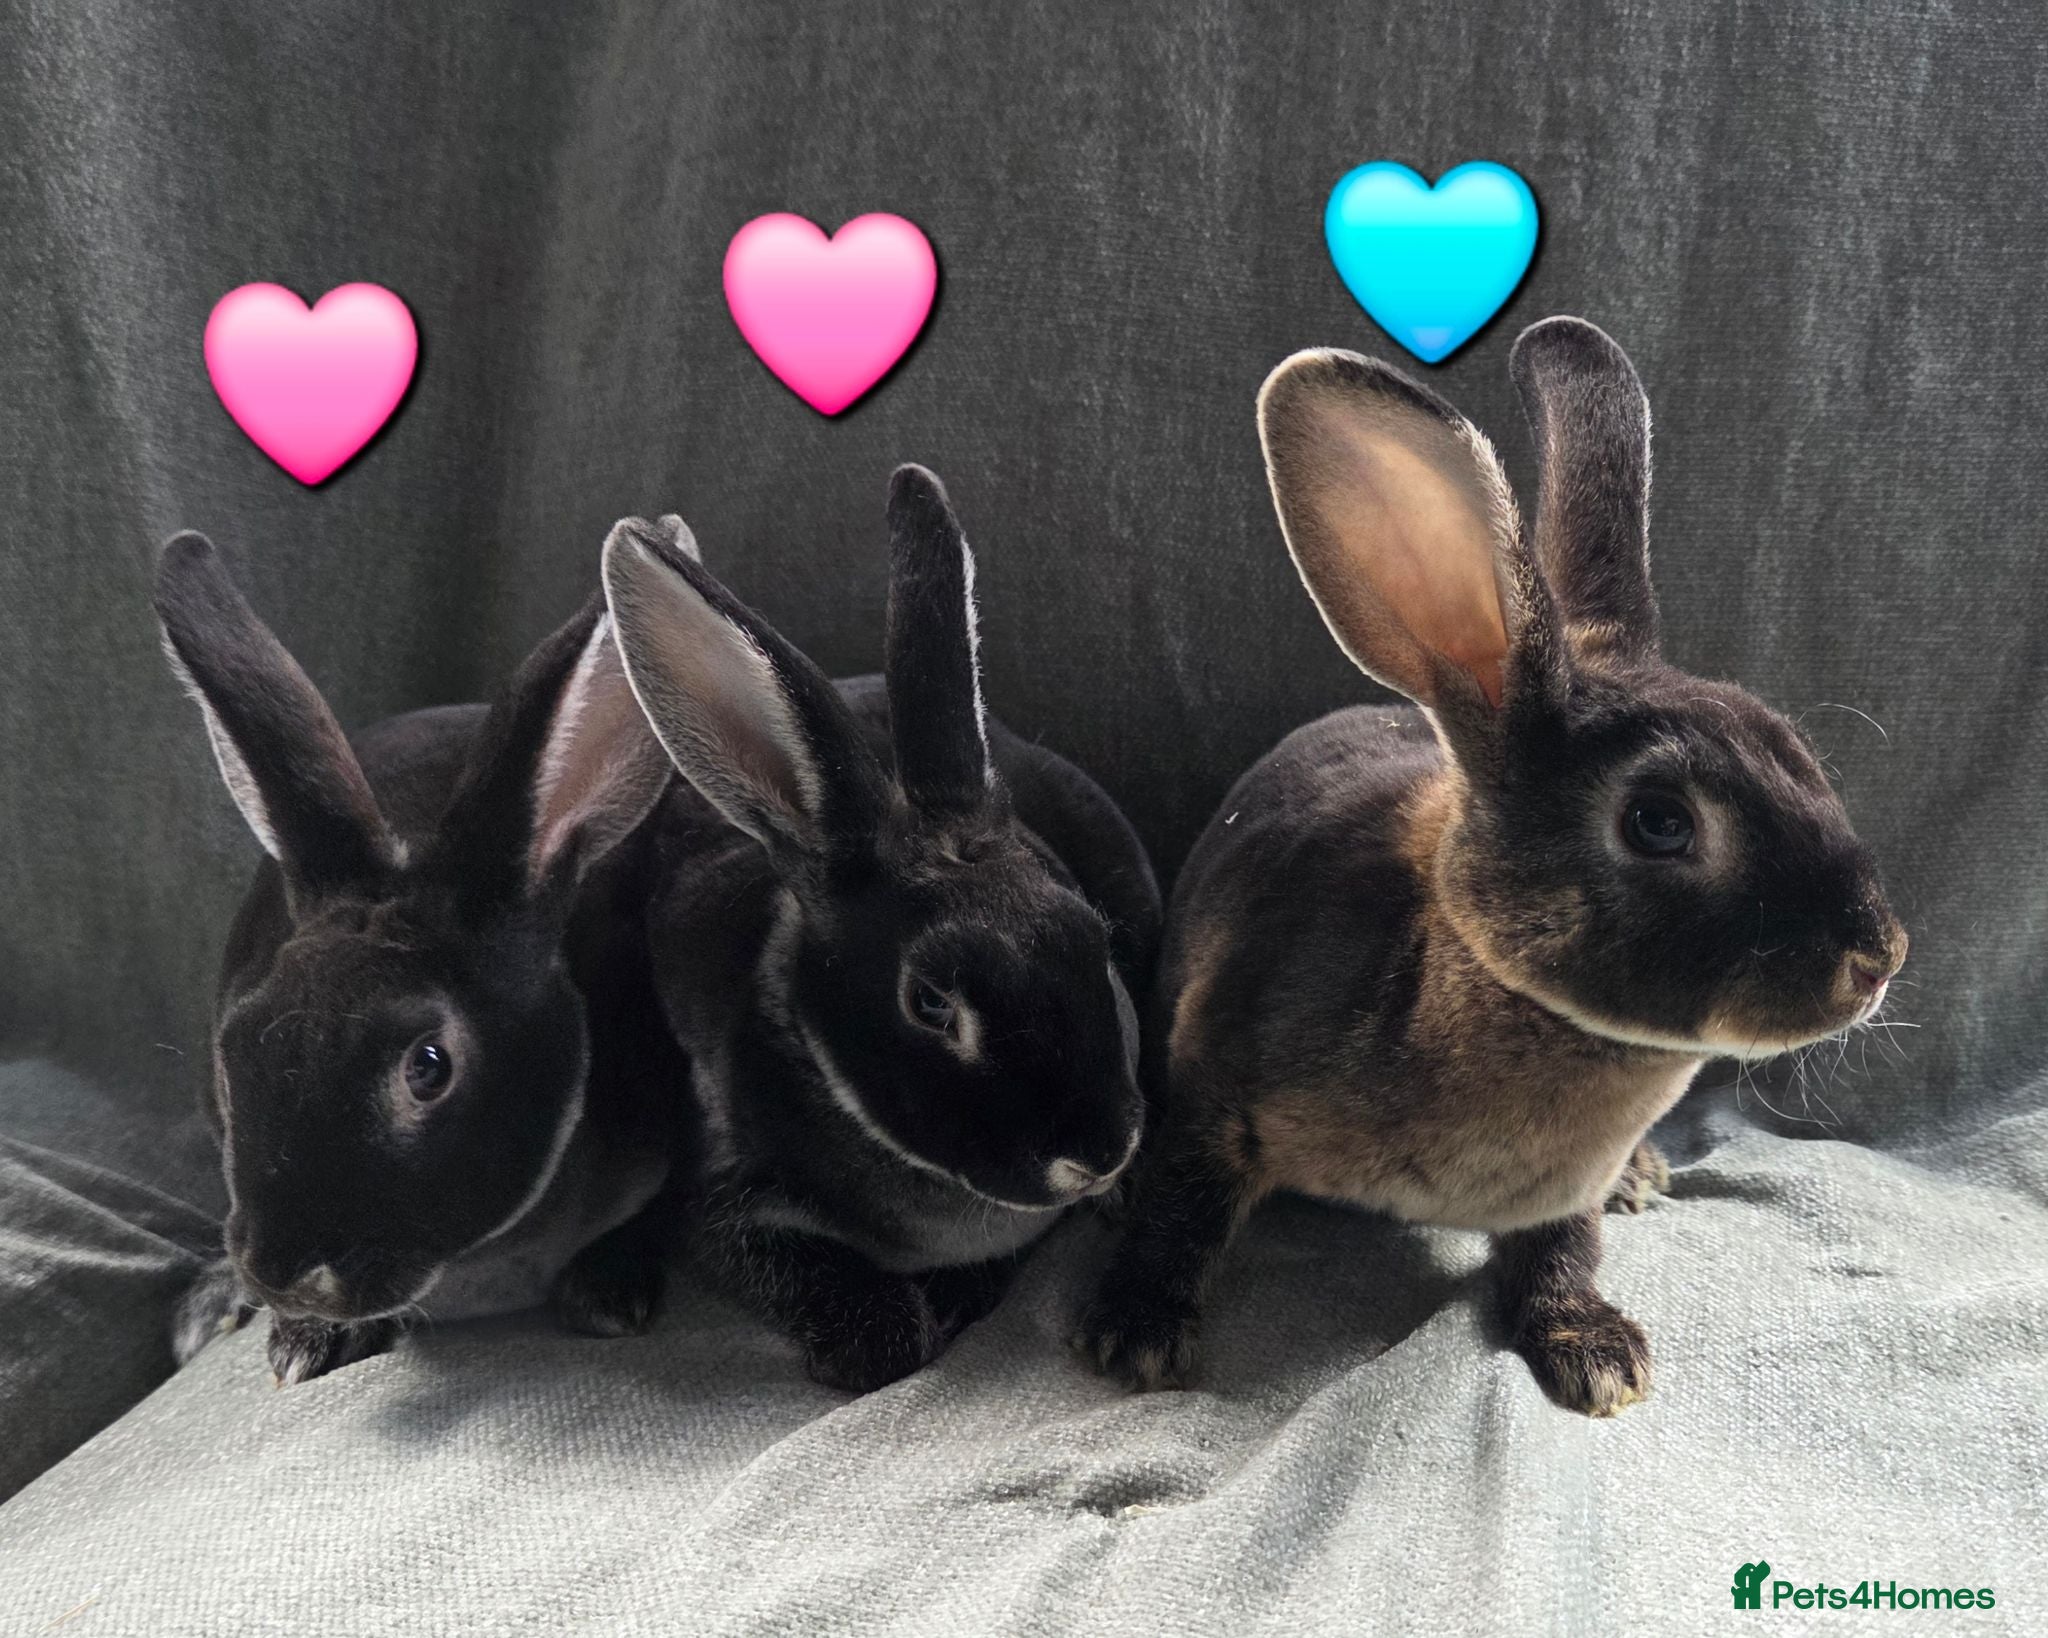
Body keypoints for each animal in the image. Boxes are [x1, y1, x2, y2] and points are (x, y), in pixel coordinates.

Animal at [601, 465, 1161, 1393]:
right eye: (930, 1004)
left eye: (1097, 941)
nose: (1104, 1148)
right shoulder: (719, 1199)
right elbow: (871, 1333)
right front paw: (882, 1332)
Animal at [1078, 318, 1908, 1416]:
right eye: (1657, 822)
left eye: (1800, 756)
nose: (1879, 958)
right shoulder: (1216, 1088)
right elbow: (1182, 1201)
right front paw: (1133, 1334)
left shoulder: (1557, 1196)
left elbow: (1563, 1251)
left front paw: (1598, 1355)